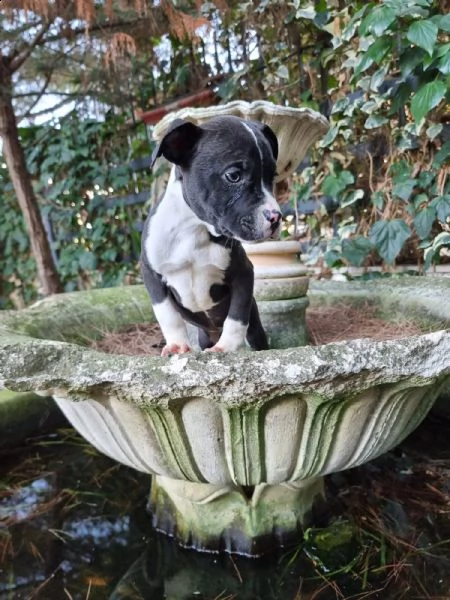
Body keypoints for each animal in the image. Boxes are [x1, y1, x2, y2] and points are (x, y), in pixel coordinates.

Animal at [141, 115, 282, 354]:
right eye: (234, 176)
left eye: (272, 176)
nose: (276, 217)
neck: (194, 229)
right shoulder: (151, 273)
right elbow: (168, 314)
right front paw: (177, 344)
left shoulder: (244, 273)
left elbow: (237, 316)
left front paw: (227, 346)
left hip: (256, 332)